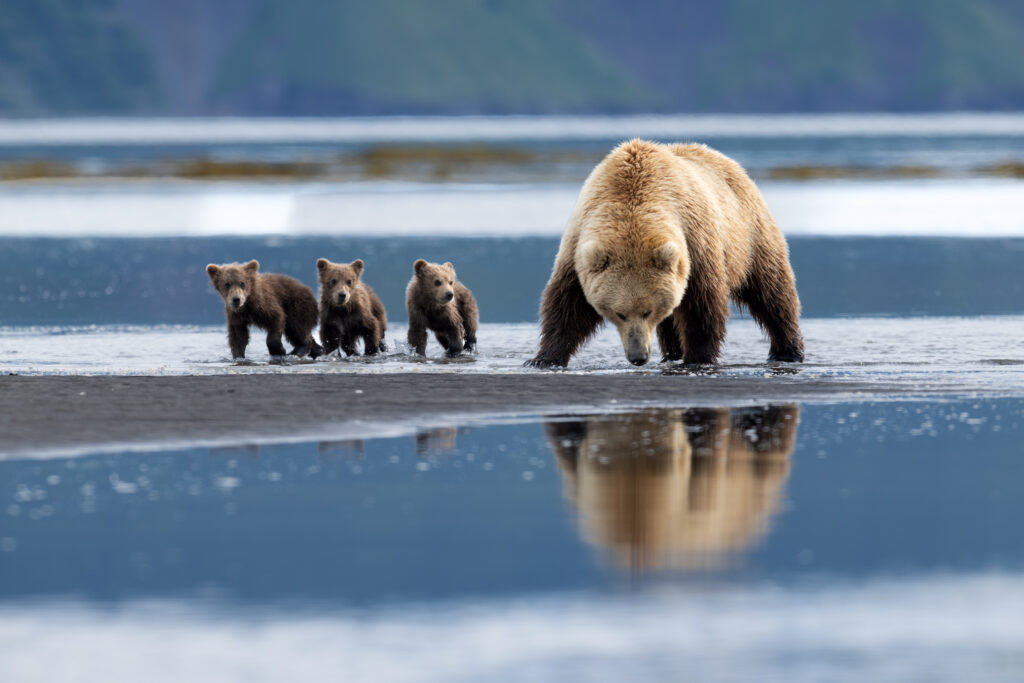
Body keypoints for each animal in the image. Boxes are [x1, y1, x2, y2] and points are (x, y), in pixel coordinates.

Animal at [526, 139, 804, 368]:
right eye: (619, 313)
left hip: (749, 234)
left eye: (647, 311)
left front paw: (698, 357)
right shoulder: (577, 246)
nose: (638, 357)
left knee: (771, 290)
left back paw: (788, 350)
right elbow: (567, 305)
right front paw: (543, 359)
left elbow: (702, 304)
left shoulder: (695, 243)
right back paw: (672, 352)